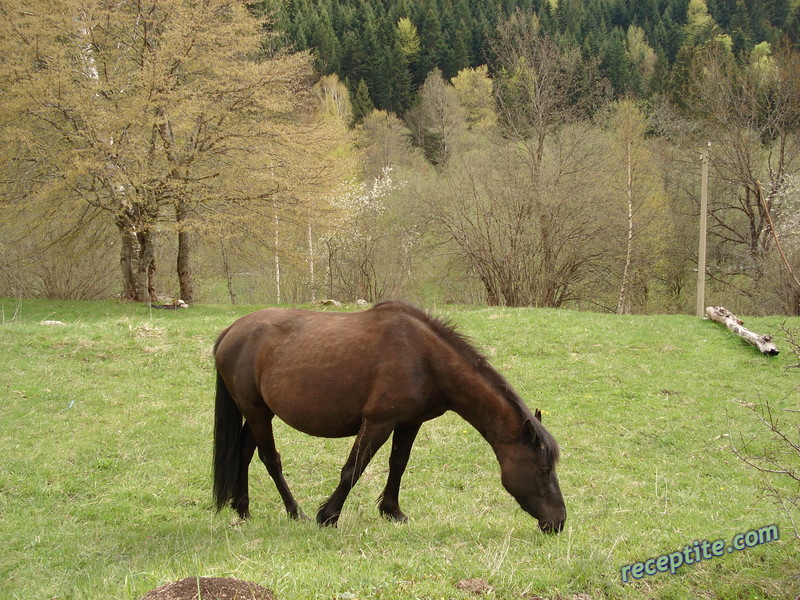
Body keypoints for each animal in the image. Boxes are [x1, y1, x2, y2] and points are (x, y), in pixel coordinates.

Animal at [209, 302, 564, 532]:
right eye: (544, 469)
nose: (558, 521)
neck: (425, 359)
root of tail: (231, 330)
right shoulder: (378, 423)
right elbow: (353, 468)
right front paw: (328, 516)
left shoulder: (408, 423)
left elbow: (398, 464)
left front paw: (392, 511)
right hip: (257, 413)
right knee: (270, 459)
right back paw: (295, 512)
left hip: (258, 412)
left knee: (243, 453)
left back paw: (242, 508)